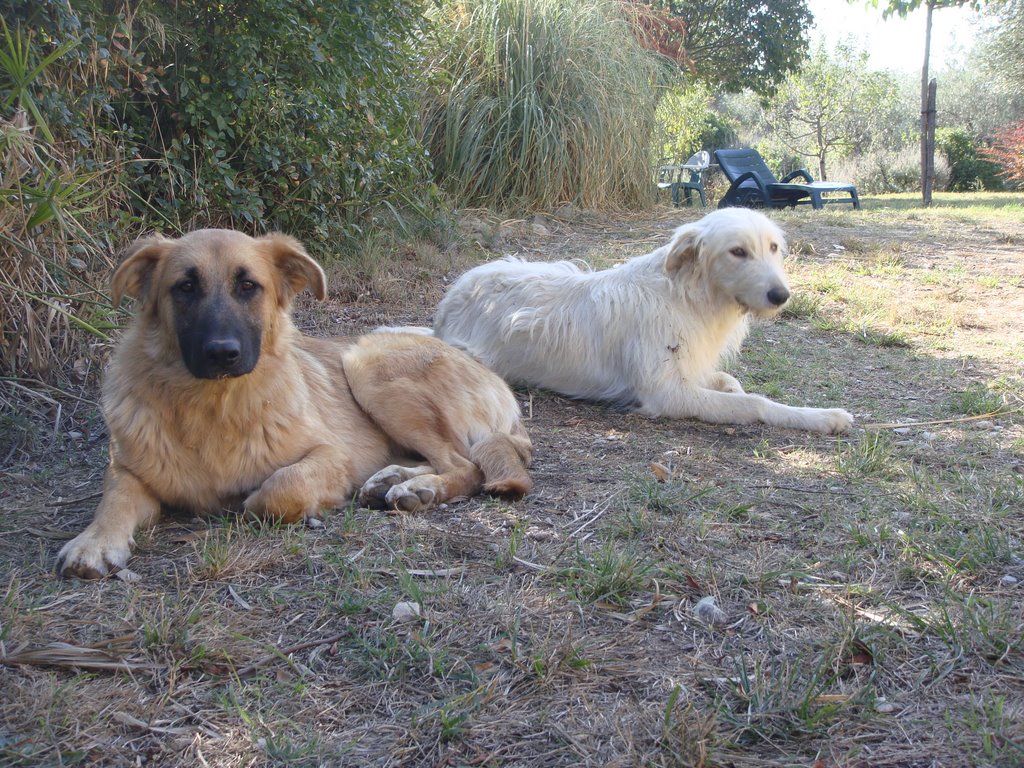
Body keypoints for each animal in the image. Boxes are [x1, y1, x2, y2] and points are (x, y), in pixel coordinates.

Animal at [58, 228, 532, 577]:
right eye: (185, 287)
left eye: (248, 286)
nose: (221, 353)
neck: (214, 407)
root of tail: (495, 380)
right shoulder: (128, 470)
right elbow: (113, 500)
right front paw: (94, 541)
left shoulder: (329, 455)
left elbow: (274, 492)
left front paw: (257, 500)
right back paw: (391, 479)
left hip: (368, 364)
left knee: (464, 465)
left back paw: (418, 489)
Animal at [436, 205, 851, 434]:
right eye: (737, 252)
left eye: (773, 247)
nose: (781, 296)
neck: (686, 297)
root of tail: (451, 297)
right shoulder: (667, 394)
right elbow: (758, 404)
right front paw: (821, 416)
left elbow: (731, 384)